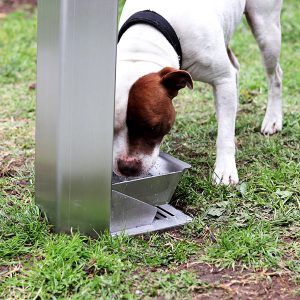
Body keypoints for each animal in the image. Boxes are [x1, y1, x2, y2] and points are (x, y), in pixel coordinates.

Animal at [113, 0, 284, 184]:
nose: (127, 167)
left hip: (266, 32)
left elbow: (224, 136)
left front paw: (225, 171)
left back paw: (273, 119)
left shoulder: (222, 79)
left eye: (153, 128)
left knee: (275, 75)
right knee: (235, 69)